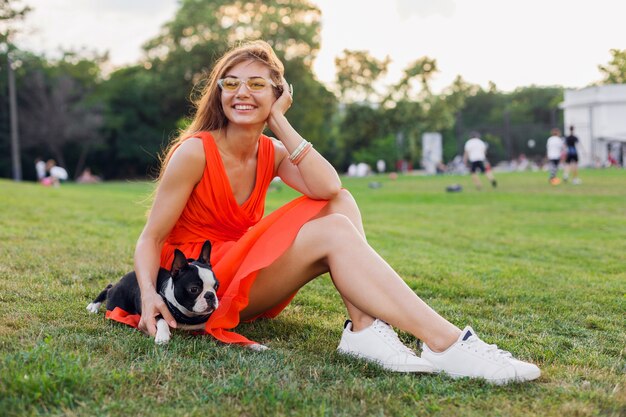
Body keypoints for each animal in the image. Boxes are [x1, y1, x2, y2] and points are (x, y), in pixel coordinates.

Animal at [85, 239, 217, 342]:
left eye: (216, 286)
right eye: (194, 289)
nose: (210, 295)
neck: (187, 315)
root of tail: (123, 279)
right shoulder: (155, 310)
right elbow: (162, 320)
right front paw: (162, 336)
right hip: (117, 302)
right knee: (109, 289)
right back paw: (94, 305)